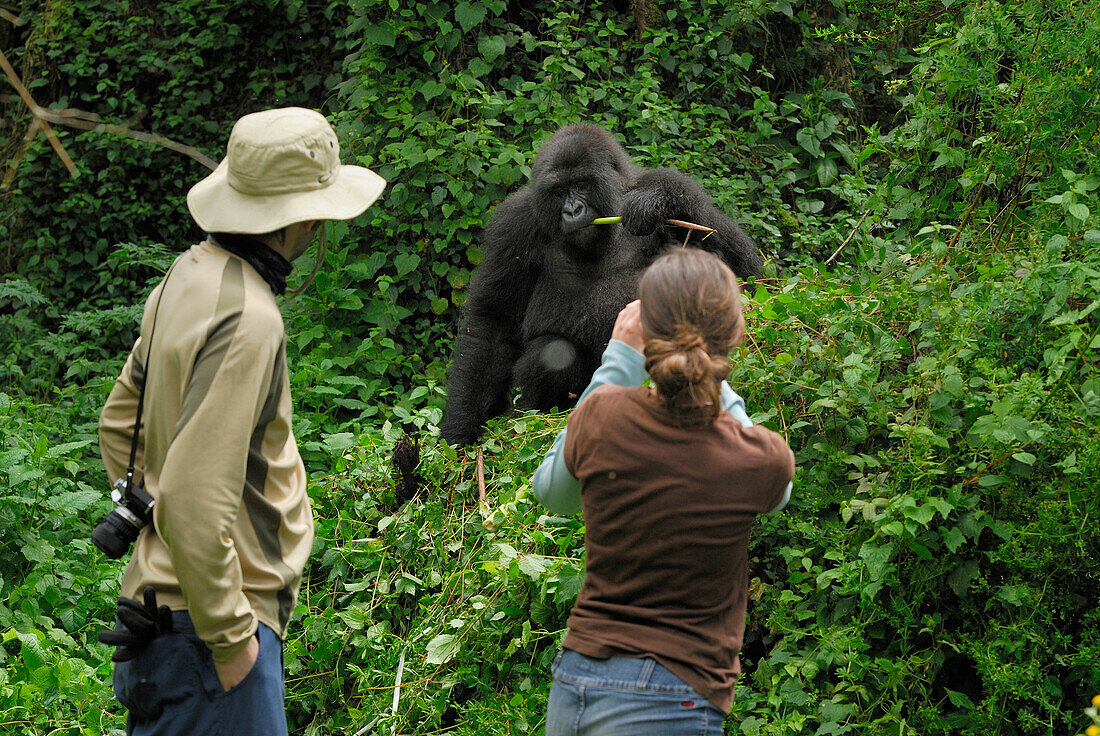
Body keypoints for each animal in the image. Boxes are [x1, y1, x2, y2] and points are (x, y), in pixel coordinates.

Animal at [433, 123, 761, 444]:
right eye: (559, 191)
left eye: (582, 184)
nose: (572, 210)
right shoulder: (513, 225)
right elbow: (494, 321)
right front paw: (459, 431)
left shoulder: (677, 186)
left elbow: (741, 267)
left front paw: (656, 201)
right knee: (551, 352)